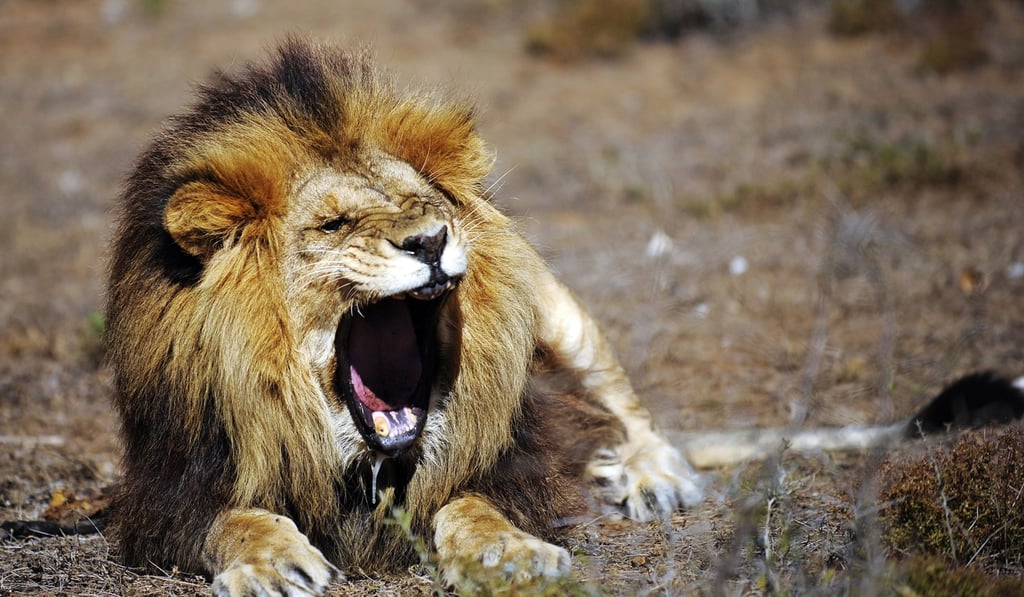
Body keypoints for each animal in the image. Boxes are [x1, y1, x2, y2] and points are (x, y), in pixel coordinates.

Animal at [106, 37, 702, 594]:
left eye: (425, 204)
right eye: (334, 224)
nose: (430, 240)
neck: (369, 466)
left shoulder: (515, 469)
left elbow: (472, 504)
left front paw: (508, 553)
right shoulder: (172, 490)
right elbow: (233, 520)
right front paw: (272, 564)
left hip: (559, 315)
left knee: (623, 403)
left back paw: (657, 480)